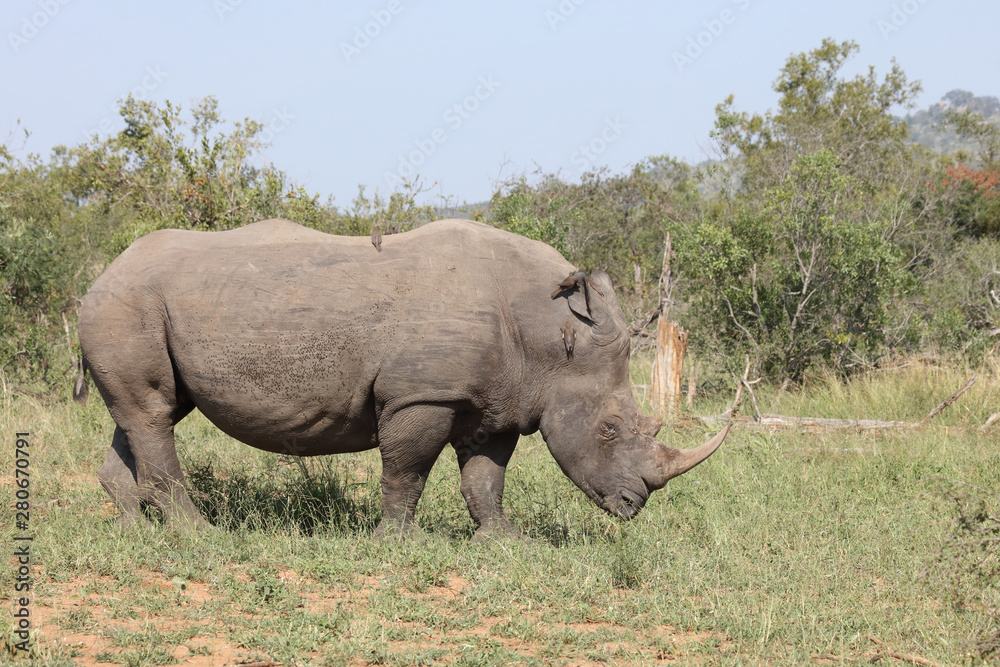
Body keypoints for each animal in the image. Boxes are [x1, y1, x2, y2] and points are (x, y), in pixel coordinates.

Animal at [76, 219, 728, 539]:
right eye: (610, 430)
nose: (632, 506)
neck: (552, 336)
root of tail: (99, 275)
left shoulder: (499, 399)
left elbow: (485, 476)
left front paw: (502, 542)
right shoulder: (423, 395)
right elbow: (407, 468)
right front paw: (396, 541)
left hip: (135, 304)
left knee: (147, 413)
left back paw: (136, 534)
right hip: (125, 303)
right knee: (153, 415)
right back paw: (200, 536)